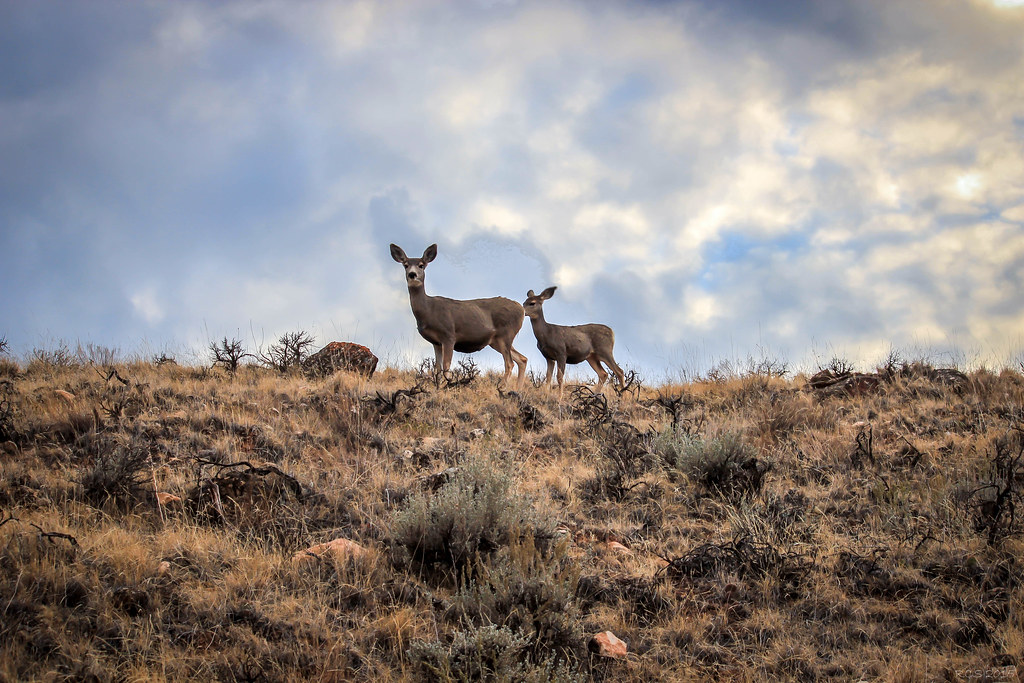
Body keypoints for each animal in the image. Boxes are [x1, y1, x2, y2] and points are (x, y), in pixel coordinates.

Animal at [390, 243, 528, 389]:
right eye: (405, 265)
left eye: (421, 265)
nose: (412, 274)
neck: (428, 311)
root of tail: (521, 309)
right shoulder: (436, 342)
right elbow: (437, 369)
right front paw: (437, 388)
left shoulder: (449, 335)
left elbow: (446, 367)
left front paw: (447, 386)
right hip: (496, 340)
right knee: (522, 359)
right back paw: (518, 389)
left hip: (506, 334)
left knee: (510, 363)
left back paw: (502, 388)